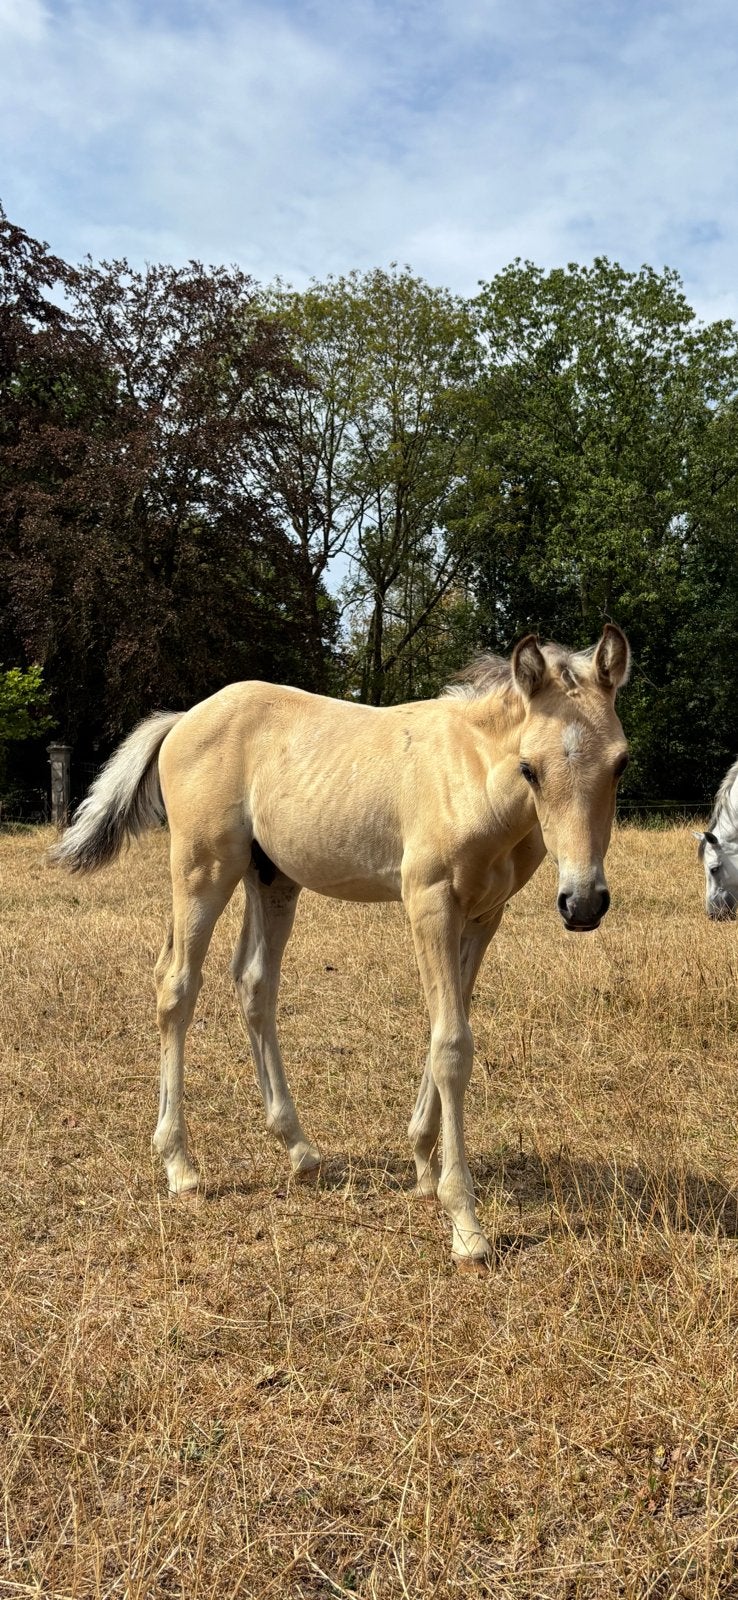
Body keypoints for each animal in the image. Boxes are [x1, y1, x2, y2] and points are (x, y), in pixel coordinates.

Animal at [52, 624, 630, 1266]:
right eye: (530, 768)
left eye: (620, 764)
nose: (583, 902)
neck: (471, 773)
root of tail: (183, 719)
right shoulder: (429, 902)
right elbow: (453, 1045)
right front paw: (464, 1221)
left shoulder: (484, 916)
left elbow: (447, 1025)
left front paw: (422, 1161)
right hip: (203, 869)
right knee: (177, 985)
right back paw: (180, 1165)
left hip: (272, 879)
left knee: (254, 983)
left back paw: (299, 1150)